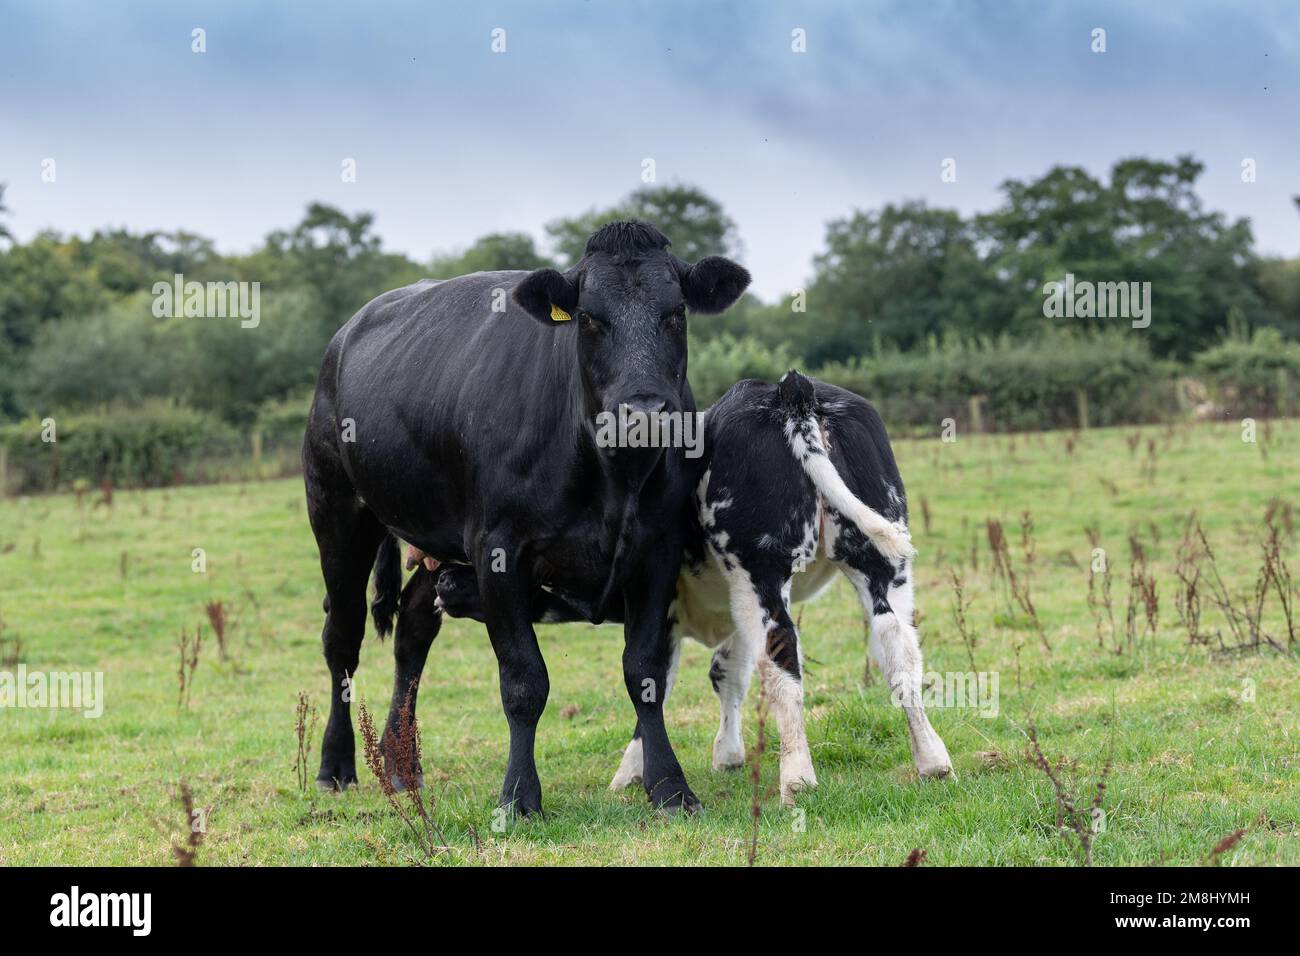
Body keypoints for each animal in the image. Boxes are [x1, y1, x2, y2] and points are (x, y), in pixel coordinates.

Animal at [301, 222, 754, 816]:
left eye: (676, 313)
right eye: (588, 318)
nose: (643, 414)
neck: (612, 477)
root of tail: (344, 335)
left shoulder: (658, 548)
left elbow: (645, 672)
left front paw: (670, 787)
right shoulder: (498, 550)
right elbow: (523, 681)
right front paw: (518, 796)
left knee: (413, 632)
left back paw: (400, 764)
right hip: (337, 513)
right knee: (342, 638)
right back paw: (336, 765)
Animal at [431, 369, 951, 806]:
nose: (441, 580)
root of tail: (791, 388)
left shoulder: (660, 611)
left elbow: (652, 683)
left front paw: (633, 772)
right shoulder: (728, 614)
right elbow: (727, 675)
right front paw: (728, 754)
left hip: (762, 573)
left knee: (783, 662)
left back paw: (798, 779)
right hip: (879, 564)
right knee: (899, 652)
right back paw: (932, 760)